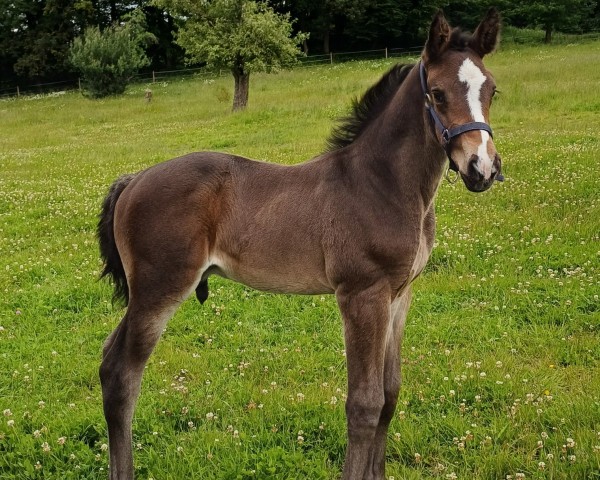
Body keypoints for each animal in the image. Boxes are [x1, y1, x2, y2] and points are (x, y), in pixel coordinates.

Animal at [98, 8, 502, 480]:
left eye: (492, 90)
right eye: (437, 94)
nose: (482, 168)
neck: (381, 183)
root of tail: (133, 180)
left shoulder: (399, 295)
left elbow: (390, 394)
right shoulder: (362, 295)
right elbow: (364, 404)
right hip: (159, 289)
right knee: (120, 373)